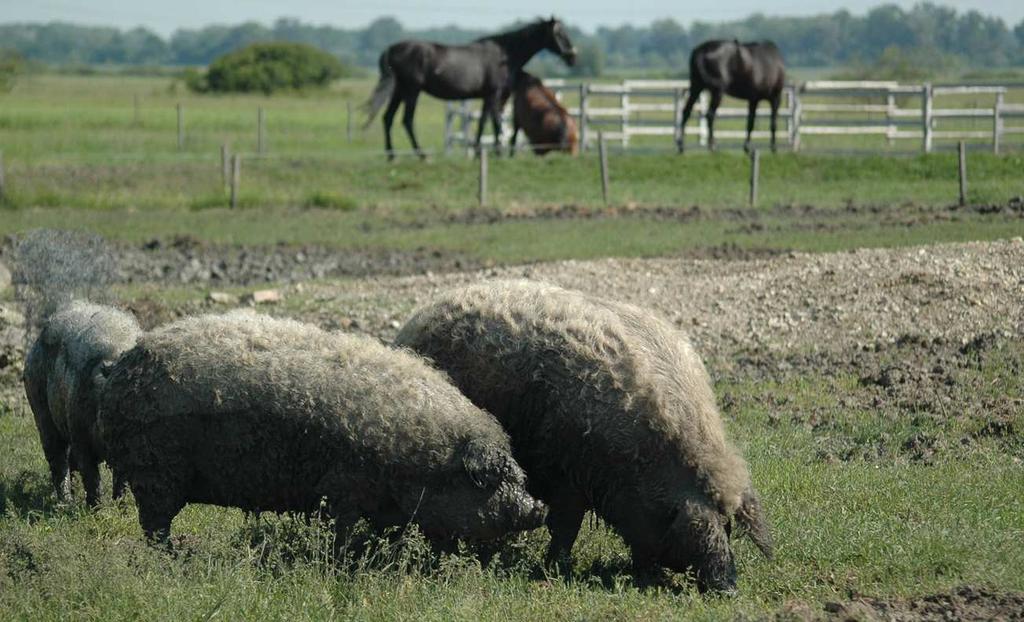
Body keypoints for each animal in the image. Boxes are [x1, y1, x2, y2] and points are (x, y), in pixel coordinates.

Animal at [364, 19, 577, 160]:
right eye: (559, 34)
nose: (572, 57)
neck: (504, 54)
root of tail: (391, 49)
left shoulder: (486, 97)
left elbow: (483, 123)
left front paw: (476, 152)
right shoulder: (494, 94)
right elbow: (496, 123)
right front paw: (498, 152)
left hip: (399, 91)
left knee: (388, 118)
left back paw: (392, 155)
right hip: (411, 91)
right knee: (407, 120)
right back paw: (422, 155)